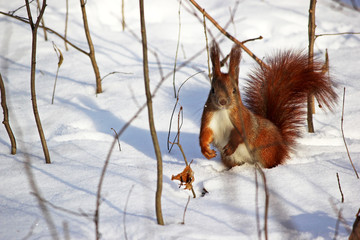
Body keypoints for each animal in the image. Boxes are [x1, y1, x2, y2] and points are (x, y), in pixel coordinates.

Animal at [200, 42, 338, 168]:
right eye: (212, 90)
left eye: (234, 90)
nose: (222, 102)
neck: (222, 111)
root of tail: (281, 144)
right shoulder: (209, 118)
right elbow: (205, 134)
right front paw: (206, 151)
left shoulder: (243, 119)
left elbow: (241, 134)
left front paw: (230, 146)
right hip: (232, 159)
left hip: (265, 150)